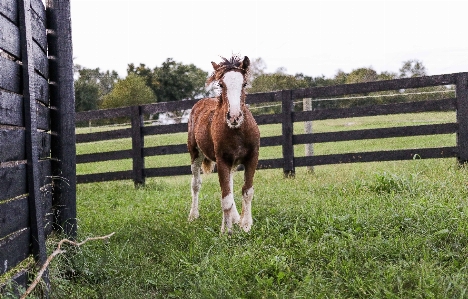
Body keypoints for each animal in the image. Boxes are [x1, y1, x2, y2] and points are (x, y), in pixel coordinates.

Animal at [186, 55, 260, 234]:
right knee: (196, 184)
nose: (234, 117)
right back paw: (193, 215)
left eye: (244, 84)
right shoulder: (222, 160)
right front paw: (226, 231)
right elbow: (225, 198)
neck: (237, 131)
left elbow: (247, 191)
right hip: (195, 153)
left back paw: (236, 218)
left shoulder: (252, 157)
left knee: (231, 186)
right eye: (221, 84)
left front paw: (245, 225)